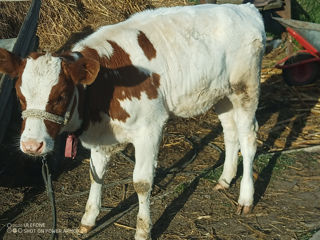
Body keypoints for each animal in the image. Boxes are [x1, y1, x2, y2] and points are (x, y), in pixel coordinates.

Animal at [0, 3, 264, 240]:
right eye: (20, 96)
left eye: (60, 96)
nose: (31, 145)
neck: (106, 83)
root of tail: (246, 9)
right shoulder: (100, 135)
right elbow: (95, 175)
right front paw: (88, 220)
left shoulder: (150, 130)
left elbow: (142, 183)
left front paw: (143, 230)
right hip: (222, 95)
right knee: (230, 133)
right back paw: (225, 179)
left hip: (246, 89)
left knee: (249, 139)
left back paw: (246, 198)